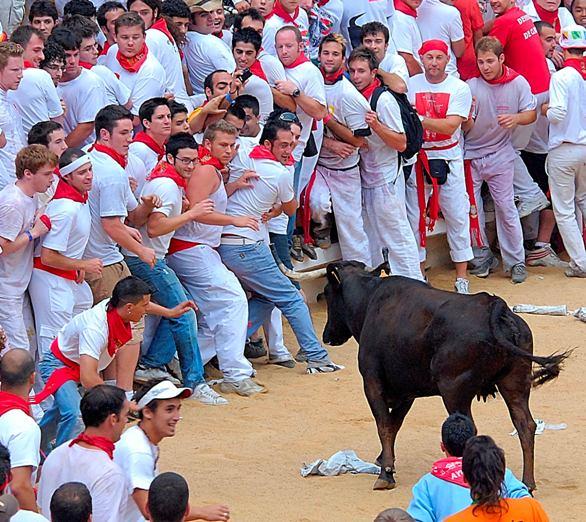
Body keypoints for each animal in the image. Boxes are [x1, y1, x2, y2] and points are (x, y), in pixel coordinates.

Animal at [320, 262, 564, 490]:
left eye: (328, 294)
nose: (327, 336)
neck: (369, 301)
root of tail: (495, 307)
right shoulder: (407, 391)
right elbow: (394, 423)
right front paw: (383, 460)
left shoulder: (372, 382)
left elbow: (384, 425)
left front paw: (385, 474)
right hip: (515, 382)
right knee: (525, 425)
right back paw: (528, 483)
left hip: (453, 390)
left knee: (472, 430)